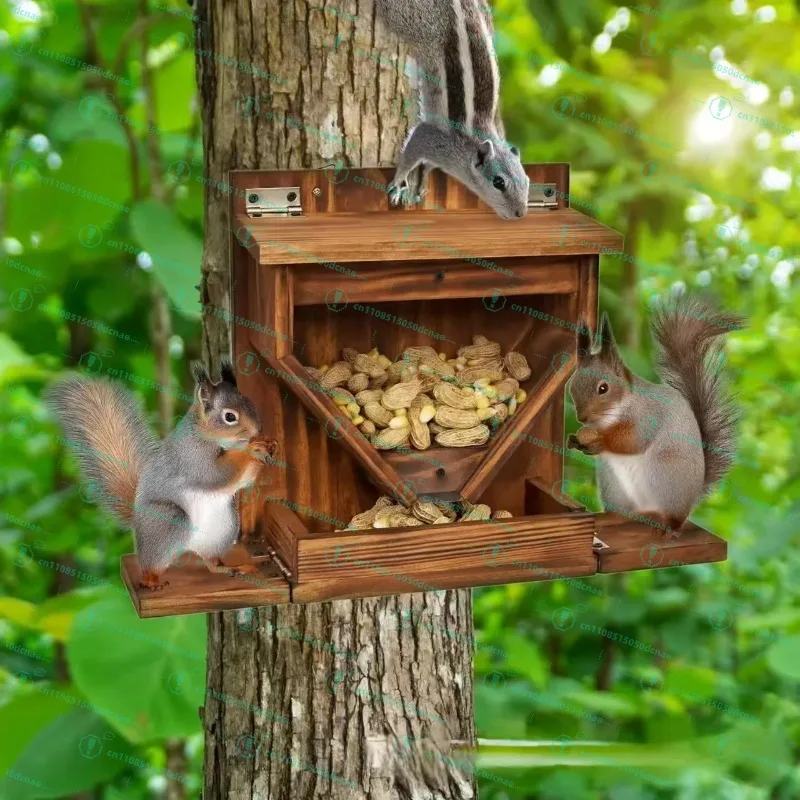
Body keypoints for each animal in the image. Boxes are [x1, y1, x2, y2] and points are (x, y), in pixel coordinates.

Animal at [47, 359, 277, 591]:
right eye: (230, 417)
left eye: (250, 402)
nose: (257, 430)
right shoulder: (192, 457)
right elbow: (217, 473)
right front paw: (252, 448)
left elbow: (242, 480)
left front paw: (268, 444)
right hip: (168, 520)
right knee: (151, 565)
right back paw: (151, 581)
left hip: (222, 529)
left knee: (211, 563)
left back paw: (234, 568)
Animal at [375, 0, 530, 219]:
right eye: (498, 182)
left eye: (526, 180)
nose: (521, 213)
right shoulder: (432, 139)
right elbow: (410, 155)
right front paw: (399, 181)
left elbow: (428, 165)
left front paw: (424, 178)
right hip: (408, 19)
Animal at [566, 296, 744, 535]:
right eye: (572, 386)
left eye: (603, 388)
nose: (582, 418)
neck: (608, 418)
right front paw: (575, 441)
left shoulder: (647, 416)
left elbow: (633, 440)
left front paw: (600, 441)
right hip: (614, 487)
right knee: (625, 513)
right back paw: (610, 519)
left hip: (665, 473)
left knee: (676, 517)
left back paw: (668, 526)